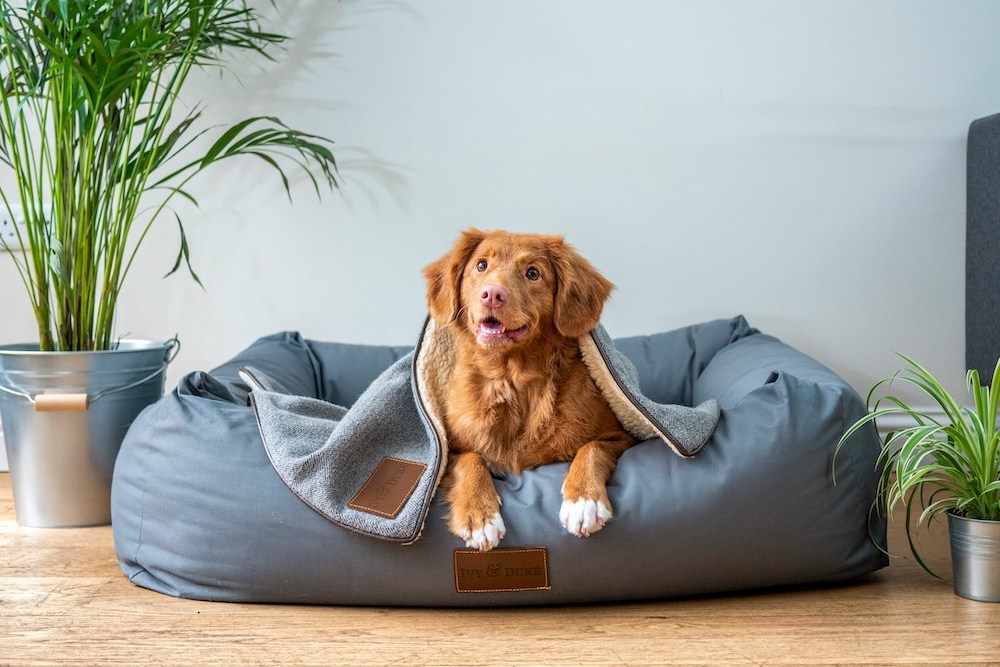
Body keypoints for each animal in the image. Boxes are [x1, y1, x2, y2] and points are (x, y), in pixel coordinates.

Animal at [422, 230, 632, 552]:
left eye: (533, 273)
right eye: (481, 265)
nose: (492, 294)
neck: (512, 379)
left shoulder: (621, 436)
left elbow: (592, 448)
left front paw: (583, 500)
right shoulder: (446, 451)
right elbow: (471, 459)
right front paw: (480, 516)